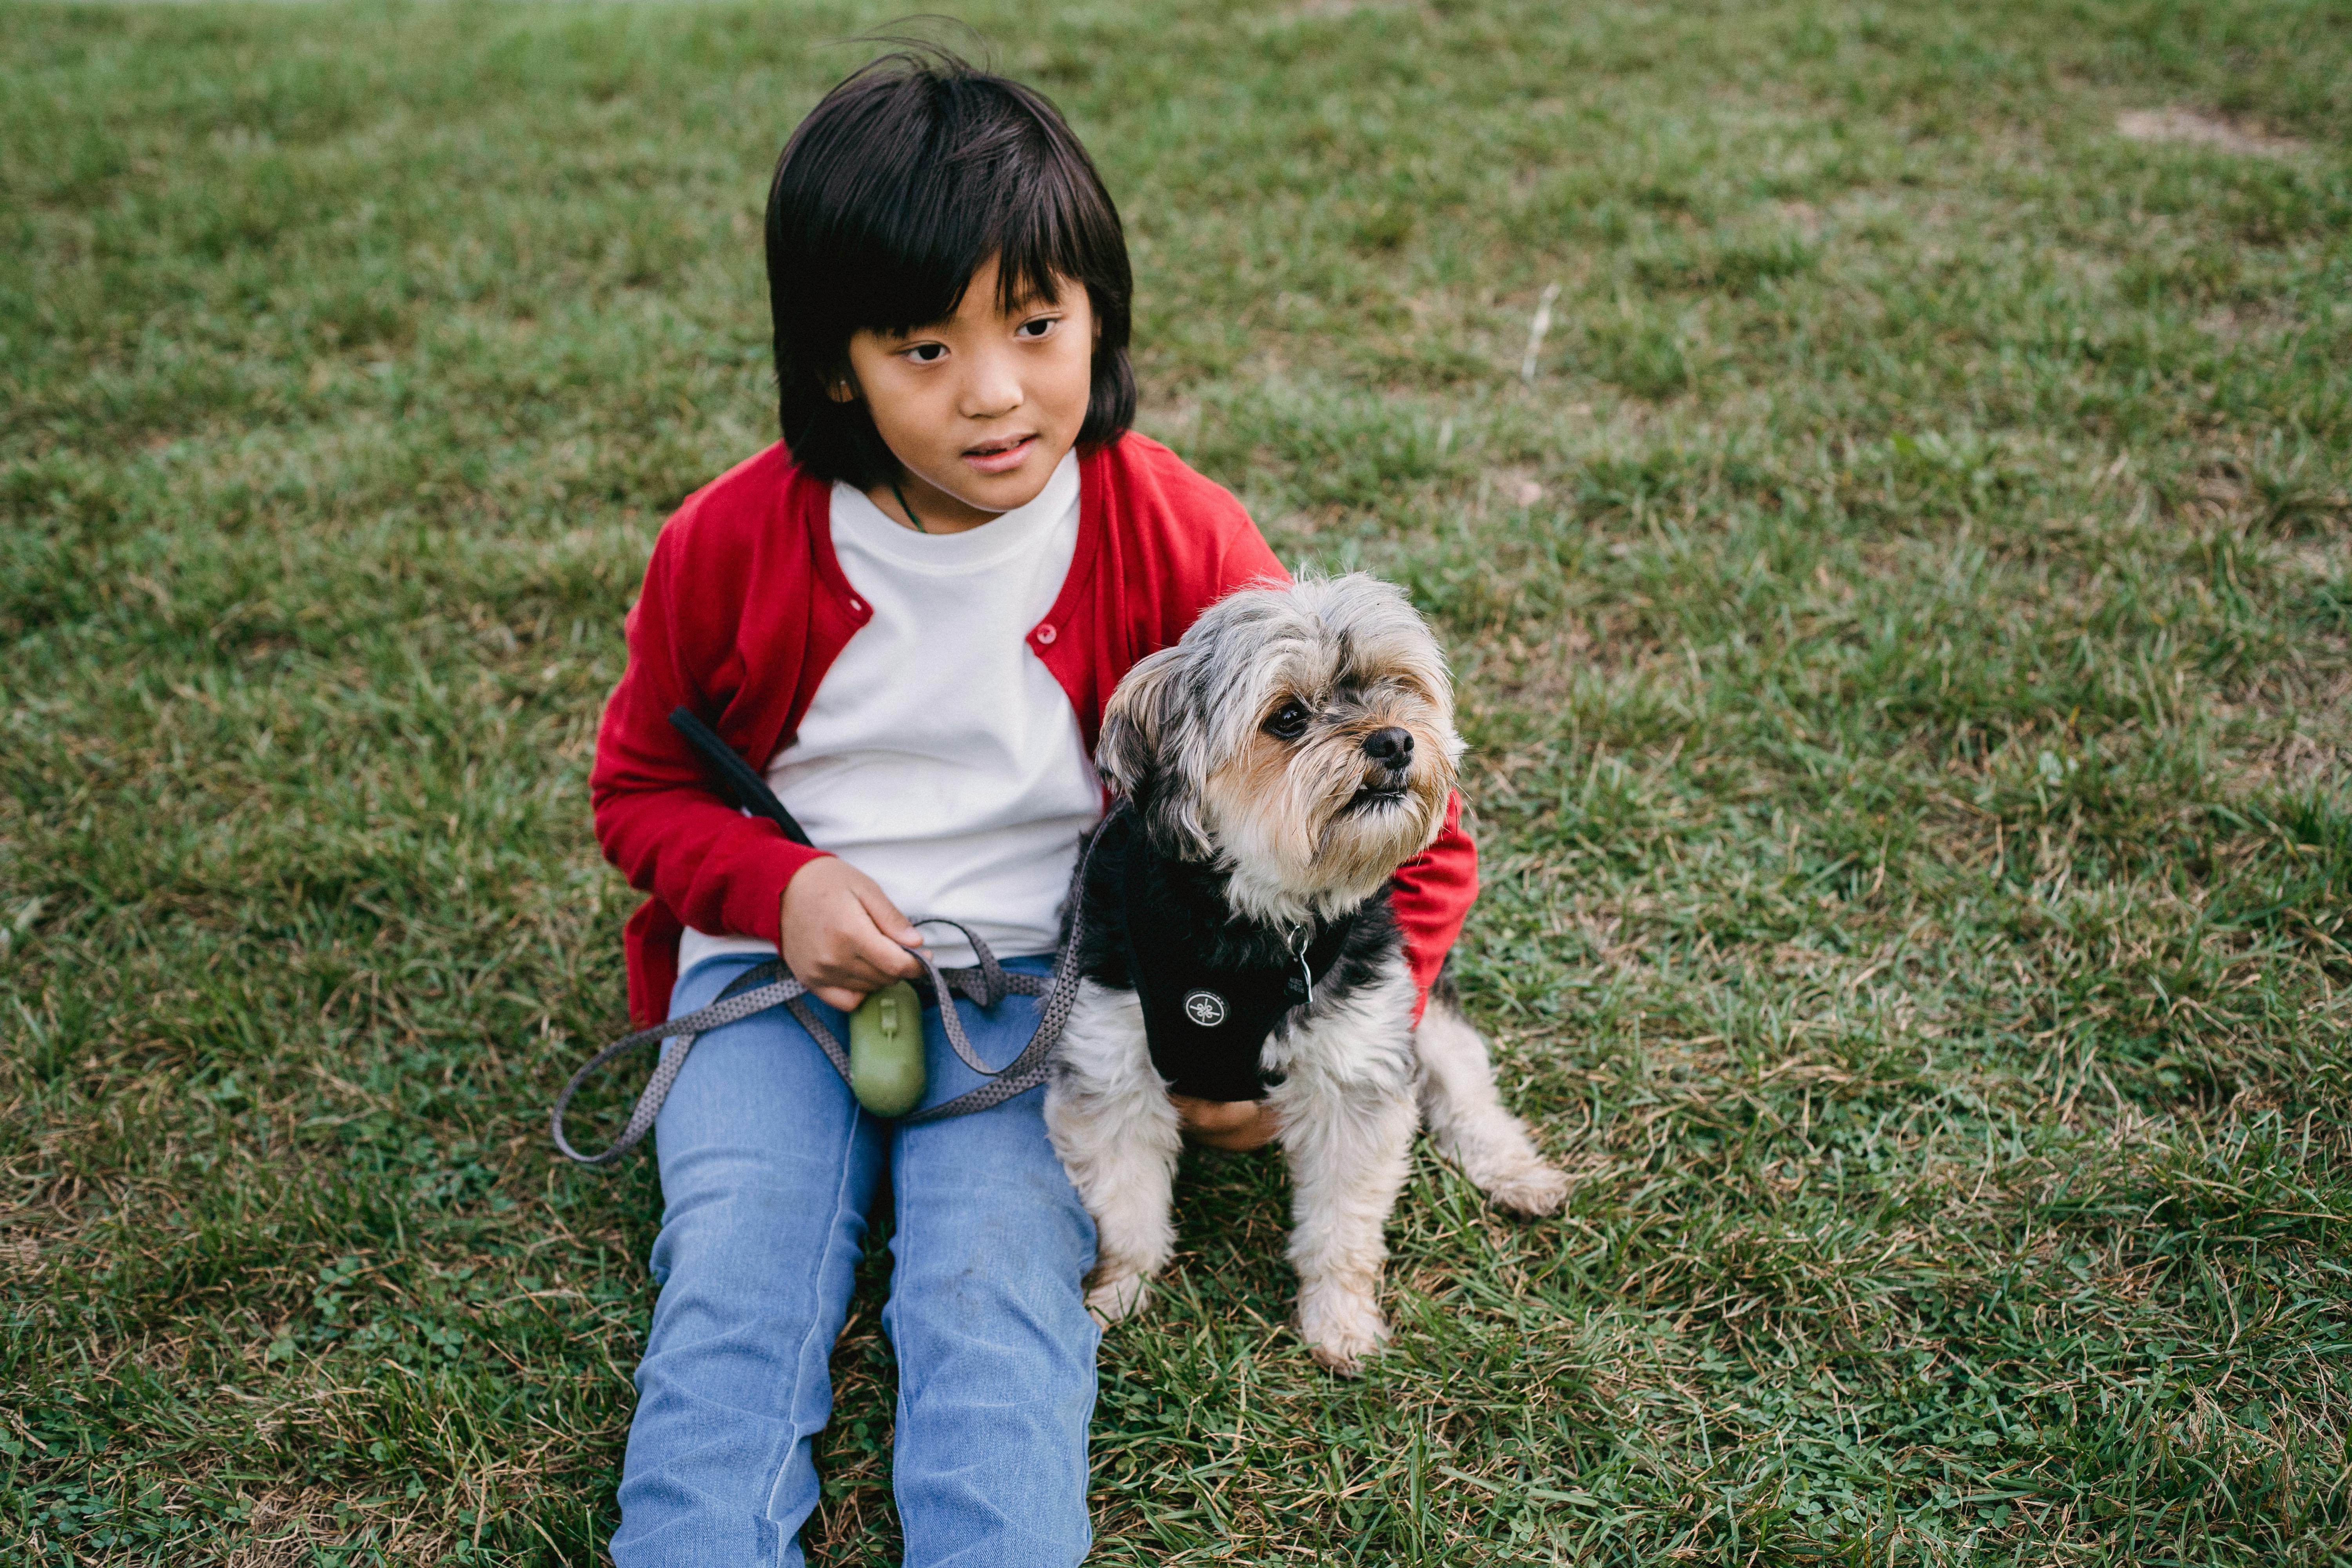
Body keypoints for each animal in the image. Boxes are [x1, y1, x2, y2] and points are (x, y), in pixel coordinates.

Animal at [1044, 573, 1562, 1373]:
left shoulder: (1356, 1071)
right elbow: (1126, 1210)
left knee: (1468, 1092)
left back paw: (1515, 1173)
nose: (1395, 739)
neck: (1253, 927)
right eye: (1287, 718)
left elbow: (1342, 1223)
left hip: (1415, 1010)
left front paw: (1340, 1320)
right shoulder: (1110, 1068)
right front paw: (1115, 1295)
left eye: (1397, 687)